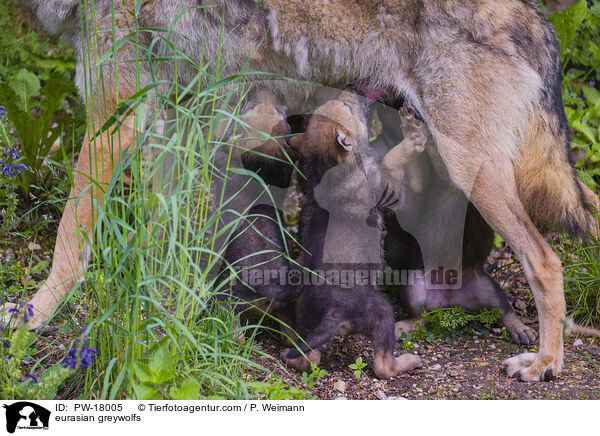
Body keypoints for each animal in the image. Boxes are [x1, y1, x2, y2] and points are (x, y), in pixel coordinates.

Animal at [11, 0, 596, 382]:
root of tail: (538, 20)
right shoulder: (172, 112)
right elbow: (164, 236)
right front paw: (166, 312)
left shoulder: (114, 114)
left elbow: (69, 238)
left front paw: (31, 318)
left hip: (474, 172)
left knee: (546, 263)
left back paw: (544, 363)